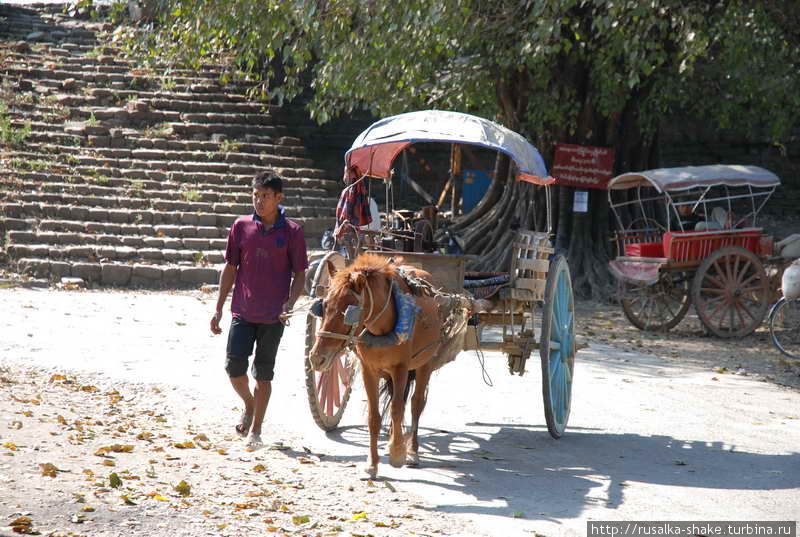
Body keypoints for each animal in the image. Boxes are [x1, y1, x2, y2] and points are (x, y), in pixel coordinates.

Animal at [304, 253, 468, 476]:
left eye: (348, 312)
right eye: (324, 305)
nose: (316, 358)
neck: (381, 327)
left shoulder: (401, 368)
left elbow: (398, 409)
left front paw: (397, 453)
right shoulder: (368, 370)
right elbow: (374, 417)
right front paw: (372, 463)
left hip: (424, 363)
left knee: (415, 404)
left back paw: (412, 451)